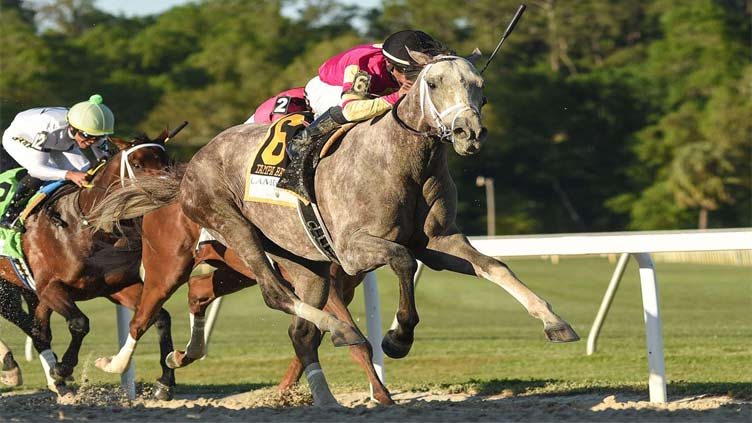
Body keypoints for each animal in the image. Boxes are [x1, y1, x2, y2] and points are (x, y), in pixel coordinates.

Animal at [0, 134, 176, 400]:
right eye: (137, 164)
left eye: (166, 161)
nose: (168, 192)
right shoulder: (50, 287)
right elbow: (79, 323)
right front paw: (62, 367)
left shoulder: (118, 286)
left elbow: (160, 317)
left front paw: (165, 382)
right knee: (29, 325)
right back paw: (15, 367)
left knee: (37, 326)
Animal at [91, 49, 580, 408]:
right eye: (434, 83)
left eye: (479, 85)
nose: (468, 132)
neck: (402, 158)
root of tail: (189, 166)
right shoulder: (352, 248)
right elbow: (402, 262)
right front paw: (397, 337)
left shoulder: (438, 240)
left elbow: (495, 267)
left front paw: (555, 322)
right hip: (219, 236)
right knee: (257, 297)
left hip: (300, 261)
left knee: (291, 325)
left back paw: (323, 396)